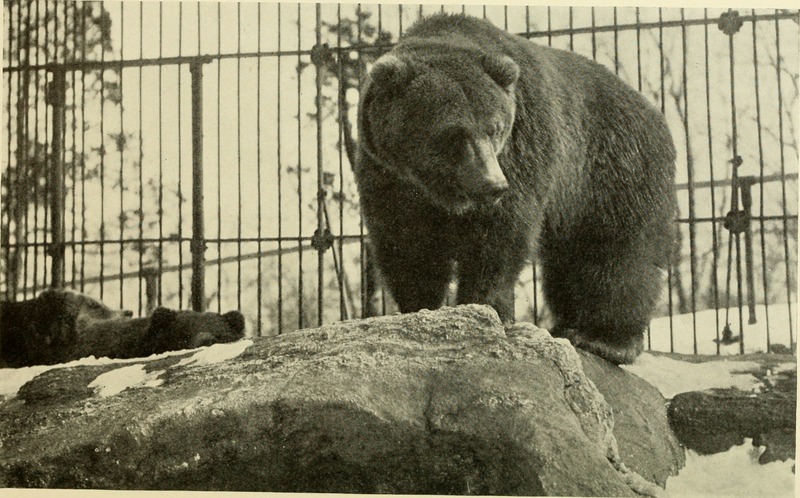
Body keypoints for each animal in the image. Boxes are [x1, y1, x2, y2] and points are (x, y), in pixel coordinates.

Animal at [356, 13, 676, 364]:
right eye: (452, 134)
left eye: (494, 128)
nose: (492, 184)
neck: (435, 190)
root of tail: (653, 110)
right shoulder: (388, 177)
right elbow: (407, 243)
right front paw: (420, 308)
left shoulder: (523, 147)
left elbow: (501, 236)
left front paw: (485, 308)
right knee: (568, 264)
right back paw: (567, 324)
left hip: (611, 170)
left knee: (617, 254)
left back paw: (604, 338)